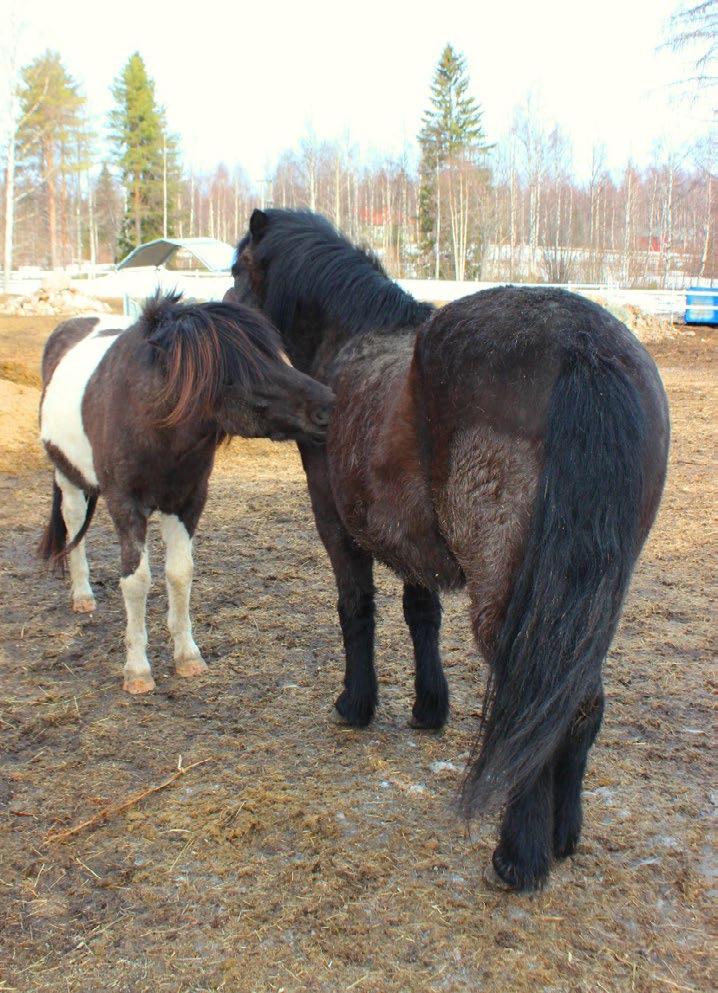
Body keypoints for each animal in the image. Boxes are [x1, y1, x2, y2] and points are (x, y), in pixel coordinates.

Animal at [42, 290, 338, 692]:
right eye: (236, 370)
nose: (328, 405)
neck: (149, 419)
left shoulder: (187, 502)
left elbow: (180, 573)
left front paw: (187, 656)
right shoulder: (126, 505)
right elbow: (136, 580)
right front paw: (137, 671)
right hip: (67, 476)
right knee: (74, 524)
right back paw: (83, 595)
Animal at [232, 209, 676, 892]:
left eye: (237, 269)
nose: (225, 313)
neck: (349, 339)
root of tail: (585, 346)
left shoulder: (338, 525)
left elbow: (355, 610)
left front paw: (355, 705)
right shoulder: (411, 536)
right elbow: (422, 615)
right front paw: (428, 708)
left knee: (532, 705)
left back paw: (518, 857)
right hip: (587, 600)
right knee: (577, 702)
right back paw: (564, 836)